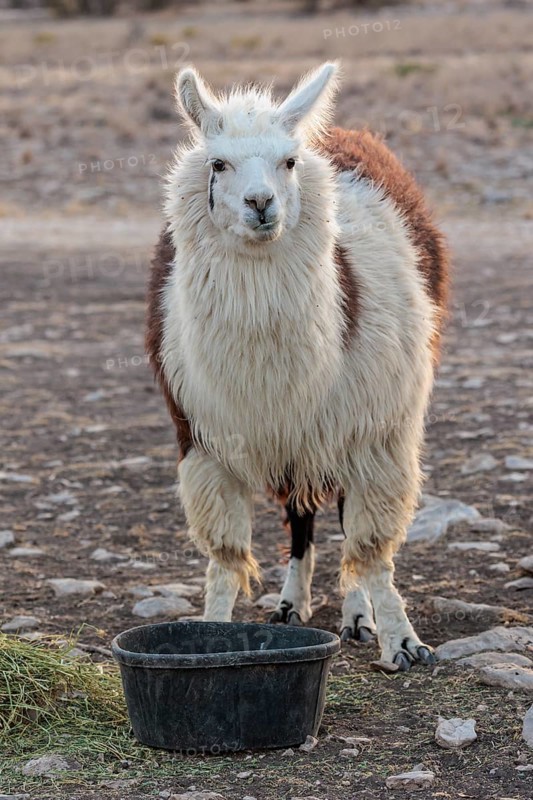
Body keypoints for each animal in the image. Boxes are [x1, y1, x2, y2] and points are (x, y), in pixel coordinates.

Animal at [146, 62, 449, 670]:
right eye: (218, 163)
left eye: (287, 161)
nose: (261, 203)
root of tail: (334, 133)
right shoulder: (204, 435)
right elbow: (226, 554)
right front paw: (212, 633)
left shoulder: (376, 432)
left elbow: (371, 547)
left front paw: (402, 640)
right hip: (298, 438)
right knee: (302, 518)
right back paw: (292, 604)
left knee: (341, 519)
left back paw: (356, 616)